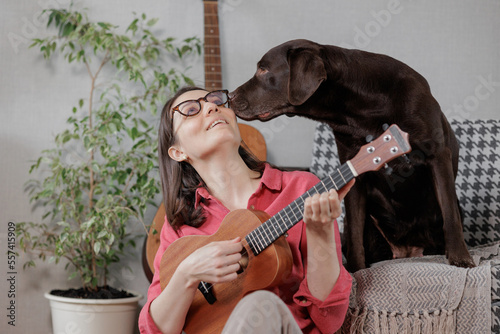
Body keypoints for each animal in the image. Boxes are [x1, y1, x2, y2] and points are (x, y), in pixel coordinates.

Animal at [229, 38, 474, 272]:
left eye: (263, 70)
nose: (229, 96)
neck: (362, 108)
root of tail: (407, 252)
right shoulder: (352, 167)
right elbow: (356, 230)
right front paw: (356, 270)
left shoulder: (437, 155)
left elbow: (450, 213)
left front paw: (461, 258)